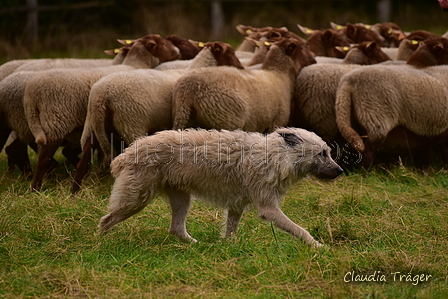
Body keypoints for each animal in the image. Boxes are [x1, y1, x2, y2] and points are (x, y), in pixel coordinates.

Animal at [21, 34, 181, 190]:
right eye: (163, 44)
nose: (178, 52)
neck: (135, 64)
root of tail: (30, 95)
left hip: (87, 125)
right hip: (58, 122)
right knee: (43, 159)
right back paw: (35, 189)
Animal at [71, 41, 243, 193]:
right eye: (231, 53)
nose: (241, 68)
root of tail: (102, 95)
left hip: (94, 126)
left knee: (83, 161)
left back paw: (75, 193)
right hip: (131, 122)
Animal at [98, 127, 344, 247]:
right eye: (322, 153)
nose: (341, 171)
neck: (275, 156)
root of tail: (126, 153)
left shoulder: (236, 206)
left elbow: (230, 231)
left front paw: (227, 247)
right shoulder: (268, 209)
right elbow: (300, 229)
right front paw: (318, 247)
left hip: (181, 199)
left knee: (176, 229)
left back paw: (198, 246)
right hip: (134, 200)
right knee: (105, 221)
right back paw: (99, 244)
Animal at [172, 37, 316, 134]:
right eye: (302, 48)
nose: (314, 60)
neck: (279, 74)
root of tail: (188, 92)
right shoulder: (276, 122)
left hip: (187, 120)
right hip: (226, 121)